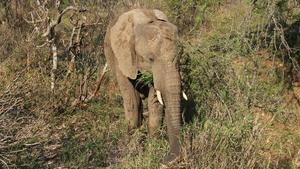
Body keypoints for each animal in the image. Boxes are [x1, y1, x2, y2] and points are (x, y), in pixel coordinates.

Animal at [103, 7, 183, 165]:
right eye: (150, 59)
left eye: (180, 55)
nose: (166, 160)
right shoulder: (122, 56)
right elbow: (131, 98)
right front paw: (133, 144)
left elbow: (155, 97)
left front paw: (153, 144)